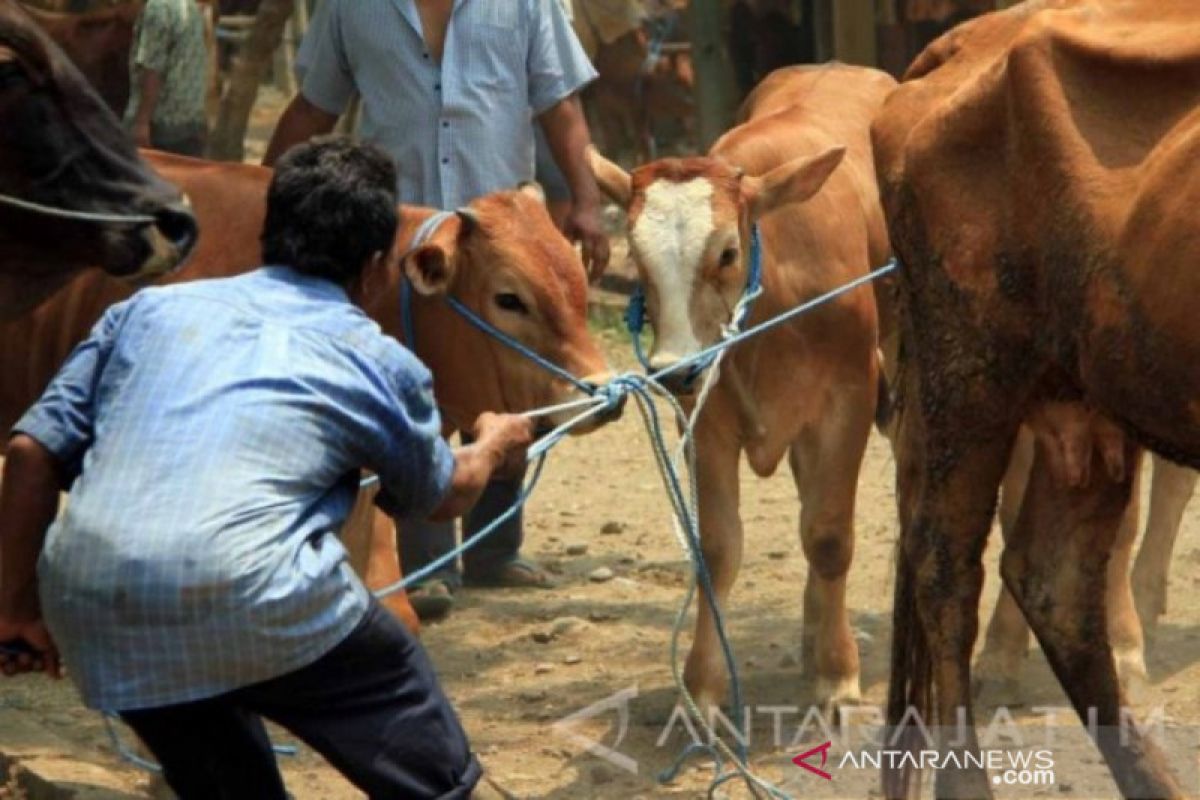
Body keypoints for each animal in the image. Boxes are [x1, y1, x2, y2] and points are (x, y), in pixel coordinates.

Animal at [585, 64, 897, 714]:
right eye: (640, 263)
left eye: (727, 252)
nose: (673, 368)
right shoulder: (706, 416)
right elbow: (718, 548)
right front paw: (703, 685)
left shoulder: (849, 400)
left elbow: (829, 536)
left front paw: (838, 674)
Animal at [873, 3, 1200, 796]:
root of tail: (971, 36)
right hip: (969, 374)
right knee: (945, 564)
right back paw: (965, 782)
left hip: (1086, 400)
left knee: (1054, 578)